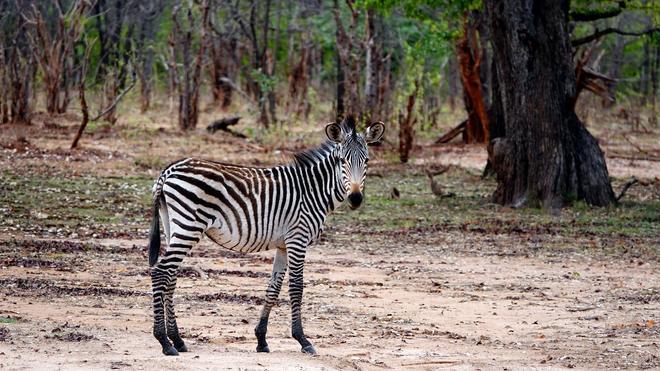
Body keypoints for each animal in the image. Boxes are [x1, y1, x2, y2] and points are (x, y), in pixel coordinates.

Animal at [147, 117, 384, 358]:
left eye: (366, 160)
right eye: (341, 160)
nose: (355, 198)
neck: (313, 190)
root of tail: (168, 171)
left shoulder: (283, 245)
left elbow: (273, 288)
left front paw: (261, 339)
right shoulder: (298, 238)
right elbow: (296, 288)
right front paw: (302, 339)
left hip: (174, 226)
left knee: (171, 276)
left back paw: (178, 340)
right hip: (188, 226)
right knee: (160, 272)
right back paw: (164, 341)